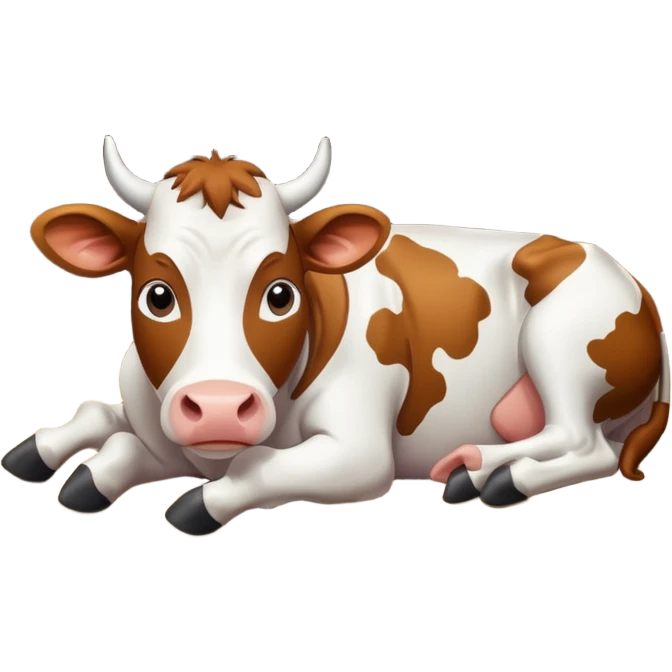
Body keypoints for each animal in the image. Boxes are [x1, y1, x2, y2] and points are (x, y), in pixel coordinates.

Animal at [3, 136, 669, 537]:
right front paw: (53, 456)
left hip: (562, 337)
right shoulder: (160, 422)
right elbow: (104, 420)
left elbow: (258, 468)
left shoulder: (360, 454)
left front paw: (201, 501)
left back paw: (490, 473)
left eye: (281, 293)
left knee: (583, 442)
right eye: (157, 295)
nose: (218, 408)